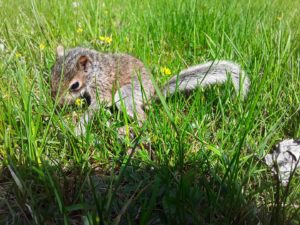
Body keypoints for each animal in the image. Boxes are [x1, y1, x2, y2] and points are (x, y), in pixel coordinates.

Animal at [50, 44, 250, 134]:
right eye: (51, 74)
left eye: (75, 85)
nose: (56, 104)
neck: (94, 71)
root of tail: (153, 95)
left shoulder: (103, 86)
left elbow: (99, 104)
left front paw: (79, 128)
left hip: (126, 93)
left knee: (143, 119)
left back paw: (125, 129)